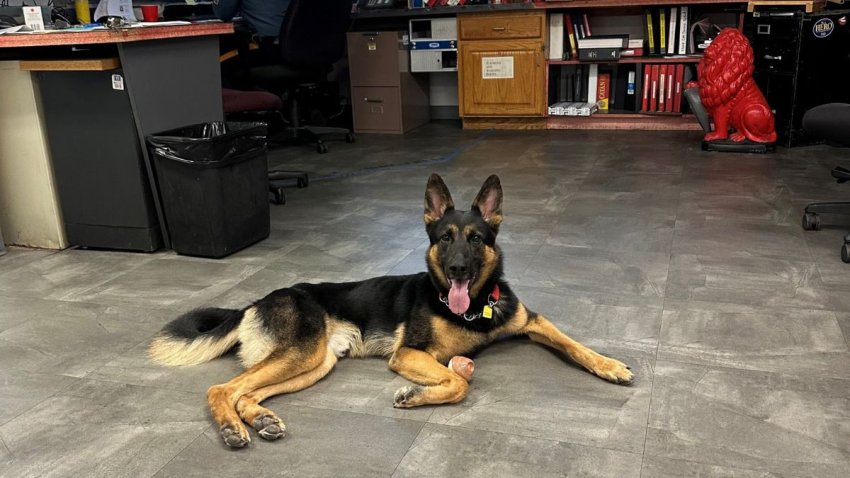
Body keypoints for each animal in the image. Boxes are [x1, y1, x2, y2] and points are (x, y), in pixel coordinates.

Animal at [151, 175, 628, 448]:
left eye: (475, 239)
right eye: (445, 237)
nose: (457, 269)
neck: (473, 307)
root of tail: (256, 301)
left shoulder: (532, 322)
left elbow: (574, 343)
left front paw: (610, 365)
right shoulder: (409, 354)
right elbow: (459, 381)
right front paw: (416, 396)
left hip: (316, 363)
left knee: (245, 392)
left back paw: (260, 419)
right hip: (302, 353)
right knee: (221, 389)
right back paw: (232, 428)